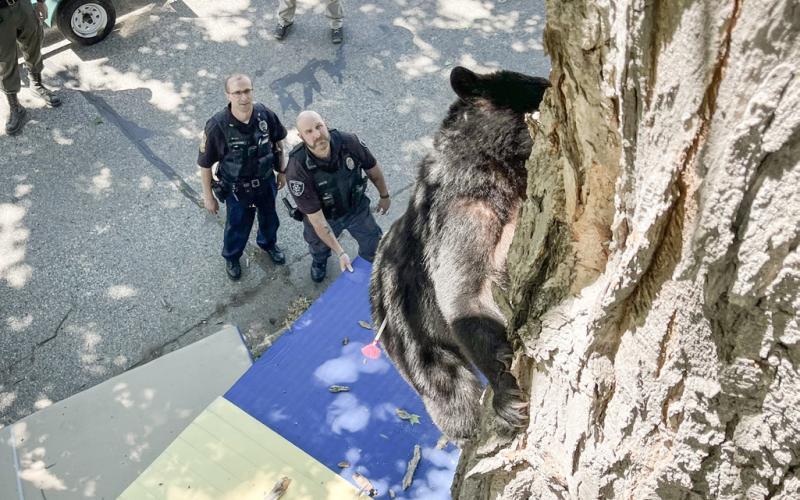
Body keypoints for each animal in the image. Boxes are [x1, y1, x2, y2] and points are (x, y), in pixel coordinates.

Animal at [369, 66, 550, 443]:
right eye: (540, 85)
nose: (550, 79)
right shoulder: (460, 211)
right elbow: (467, 292)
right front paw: (509, 397)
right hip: (414, 339)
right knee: (449, 393)